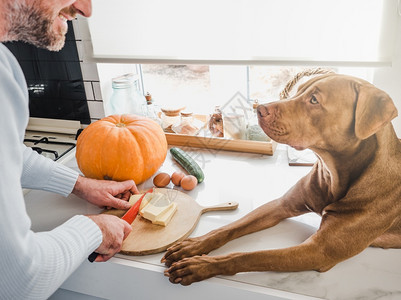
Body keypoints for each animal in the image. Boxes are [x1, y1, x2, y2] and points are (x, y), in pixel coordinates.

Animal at [161, 74, 400, 284]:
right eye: (299, 90)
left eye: (314, 99)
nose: (260, 109)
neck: (333, 174)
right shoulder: (280, 205)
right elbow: (228, 228)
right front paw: (193, 246)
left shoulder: (317, 251)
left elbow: (250, 256)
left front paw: (200, 265)